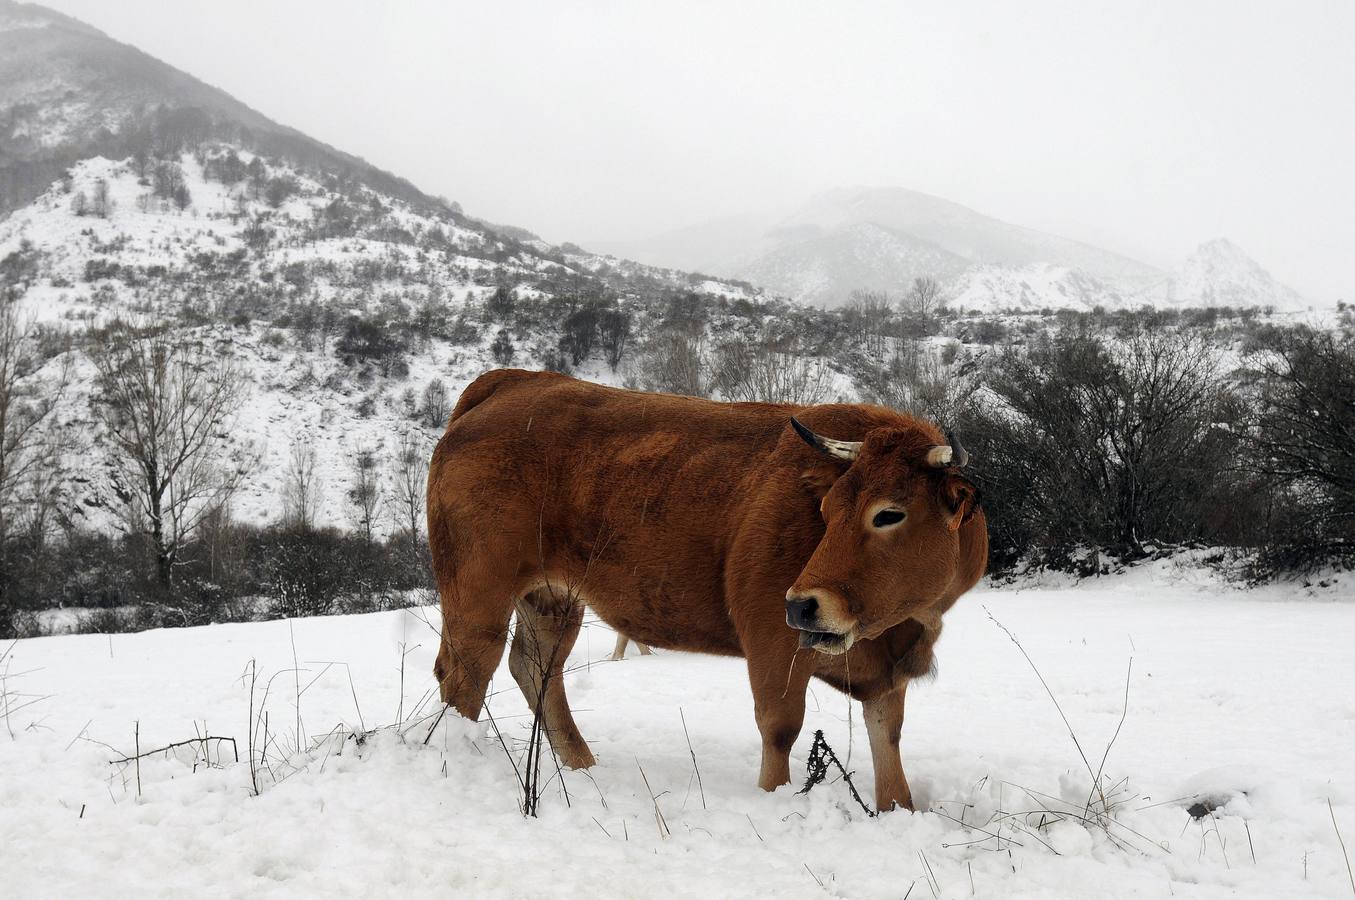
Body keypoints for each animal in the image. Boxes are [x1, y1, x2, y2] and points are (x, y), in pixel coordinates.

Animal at [428, 368, 991, 813]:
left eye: (889, 513)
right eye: (827, 509)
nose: (802, 605)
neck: (899, 630)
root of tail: (512, 382)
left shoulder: (884, 674)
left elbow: (888, 747)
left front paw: (899, 810)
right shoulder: (771, 643)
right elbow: (780, 728)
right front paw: (774, 802)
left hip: (553, 598)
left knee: (536, 668)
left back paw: (584, 768)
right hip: (479, 593)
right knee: (464, 675)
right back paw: (459, 756)